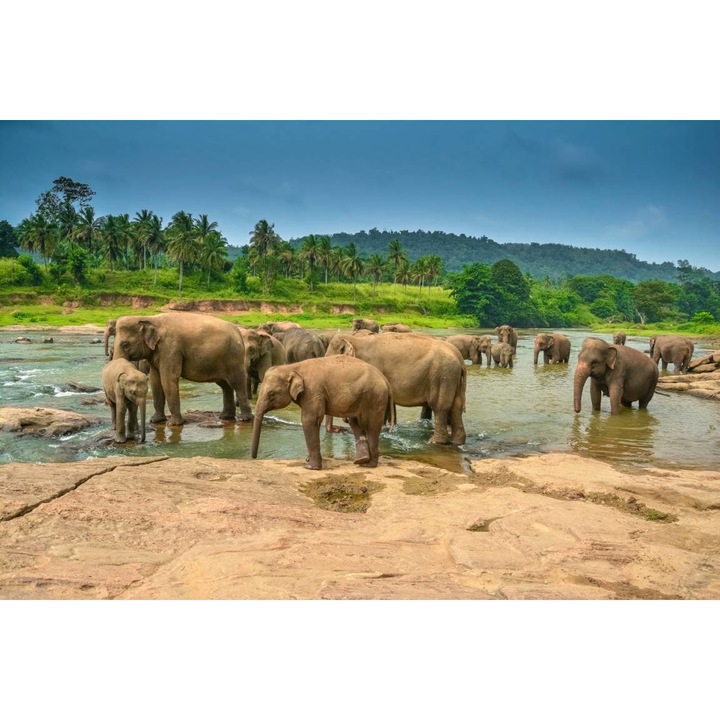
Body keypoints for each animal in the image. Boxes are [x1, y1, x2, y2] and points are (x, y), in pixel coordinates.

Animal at [112, 312, 253, 426]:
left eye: (125, 345)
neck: (149, 318)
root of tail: (238, 331)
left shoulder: (170, 348)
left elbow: (168, 379)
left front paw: (173, 424)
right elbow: (155, 380)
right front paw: (155, 420)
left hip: (234, 358)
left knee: (237, 383)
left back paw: (245, 419)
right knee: (225, 385)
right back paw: (225, 417)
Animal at [251, 355, 395, 470]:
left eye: (271, 394)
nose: (254, 458)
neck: (292, 367)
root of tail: (386, 381)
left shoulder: (313, 391)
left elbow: (309, 421)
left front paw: (310, 467)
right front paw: (308, 461)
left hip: (374, 397)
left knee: (371, 425)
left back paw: (368, 464)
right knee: (355, 421)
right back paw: (361, 460)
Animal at [325, 331, 466, 445]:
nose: (338, 429)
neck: (356, 339)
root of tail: (459, 357)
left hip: (443, 375)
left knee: (440, 407)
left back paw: (434, 442)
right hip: (452, 377)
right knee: (456, 407)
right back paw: (457, 442)